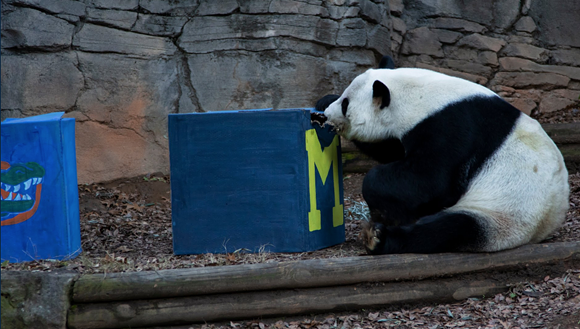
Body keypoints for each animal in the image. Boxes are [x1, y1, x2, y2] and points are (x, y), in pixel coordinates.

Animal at [320, 64, 568, 254]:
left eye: (346, 104)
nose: (329, 115)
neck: (416, 96)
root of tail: (545, 227)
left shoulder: (453, 128)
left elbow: (431, 181)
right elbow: (390, 149)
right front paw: (323, 101)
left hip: (505, 213)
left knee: (451, 229)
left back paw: (378, 238)